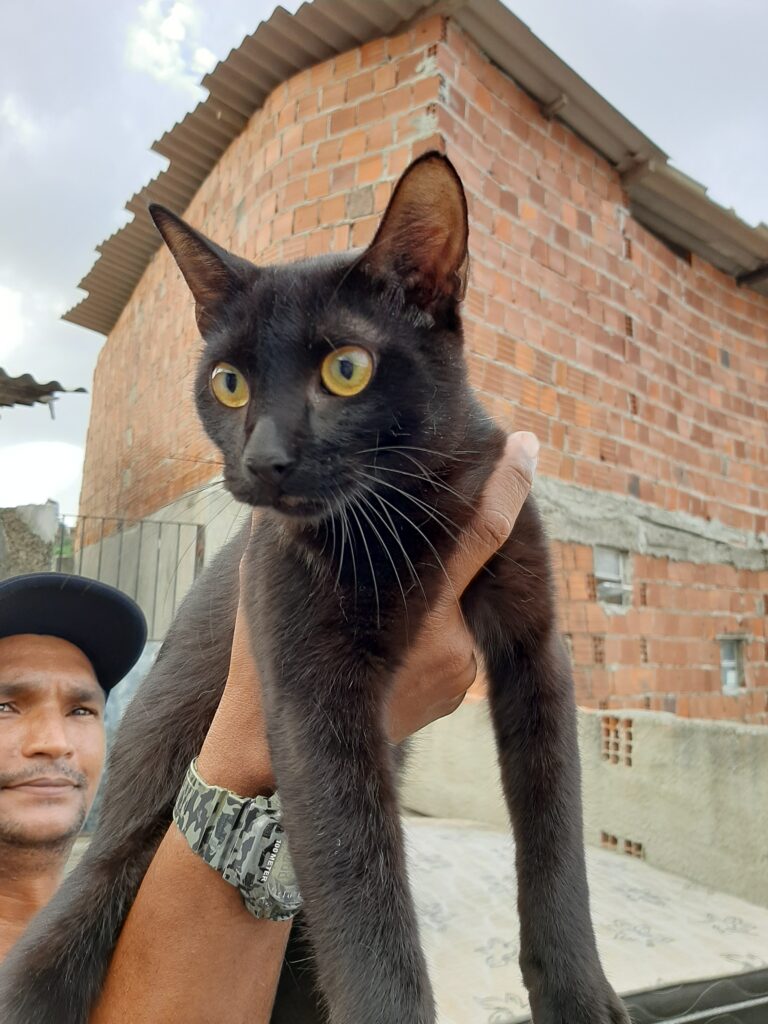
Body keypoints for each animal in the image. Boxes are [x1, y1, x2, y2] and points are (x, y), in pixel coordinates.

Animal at [0, 153, 626, 1024]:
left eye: (346, 369)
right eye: (229, 383)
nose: (263, 459)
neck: (406, 515)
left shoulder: (536, 649)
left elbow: (557, 832)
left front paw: (578, 994)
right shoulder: (306, 686)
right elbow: (364, 899)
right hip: (85, 905)